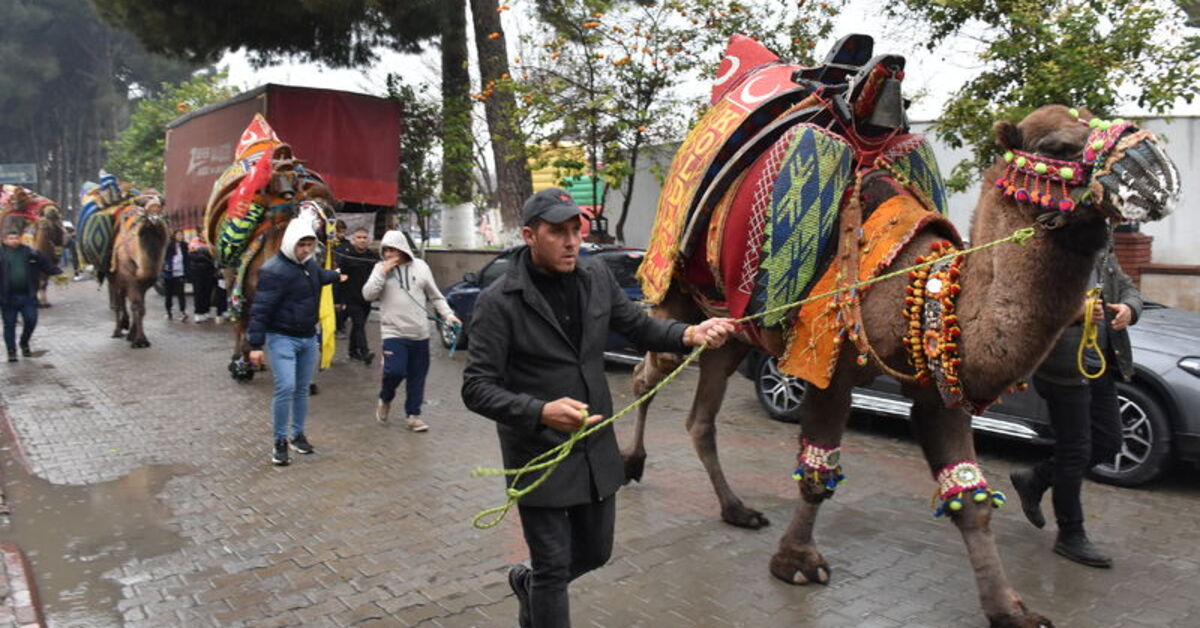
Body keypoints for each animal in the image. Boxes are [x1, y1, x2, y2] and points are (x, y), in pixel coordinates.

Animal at [108, 192, 170, 348]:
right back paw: (117, 331)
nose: (154, 216)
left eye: (160, 205)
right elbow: (135, 305)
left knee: (124, 300)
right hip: (113, 278)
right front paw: (139, 340)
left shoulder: (145, 281)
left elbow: (141, 308)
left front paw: (135, 336)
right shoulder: (129, 278)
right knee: (118, 302)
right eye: (145, 206)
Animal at [628, 36, 1180, 628]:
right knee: (647, 372)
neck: (920, 282)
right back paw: (633, 464)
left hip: (732, 332)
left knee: (700, 416)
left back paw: (736, 509)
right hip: (677, 294)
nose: (1157, 168)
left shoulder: (939, 383)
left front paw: (1011, 609)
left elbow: (971, 498)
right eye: (1057, 143)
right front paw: (797, 562)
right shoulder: (828, 365)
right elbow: (819, 471)